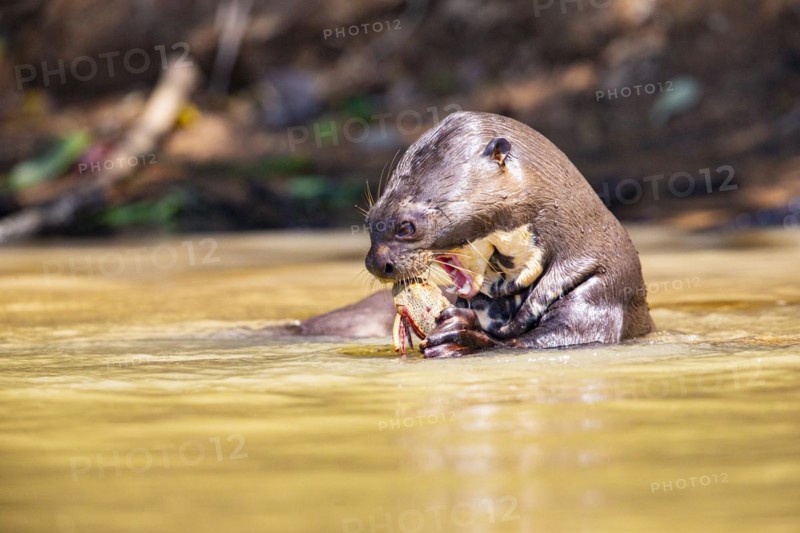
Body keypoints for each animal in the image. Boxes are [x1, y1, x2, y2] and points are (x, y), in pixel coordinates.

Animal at [304, 111, 654, 357]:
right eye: (371, 220)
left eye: (407, 226)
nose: (377, 264)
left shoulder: (600, 290)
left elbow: (539, 341)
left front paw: (460, 334)